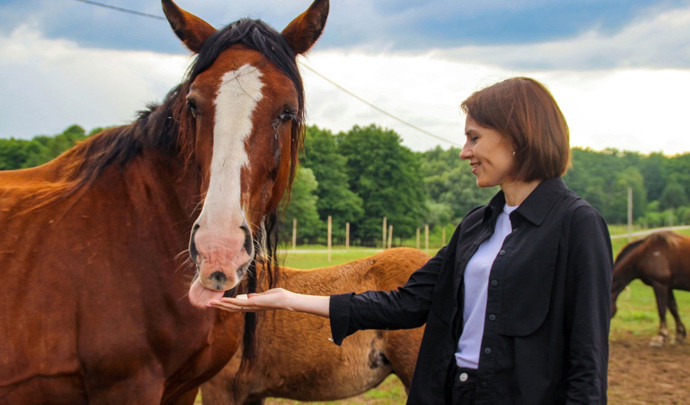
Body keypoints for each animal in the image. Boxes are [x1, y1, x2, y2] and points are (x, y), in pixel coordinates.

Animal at [0, 1, 328, 402]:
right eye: (194, 105)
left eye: (287, 111)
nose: (218, 250)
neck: (144, 227)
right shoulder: (128, 386)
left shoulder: (183, 388)